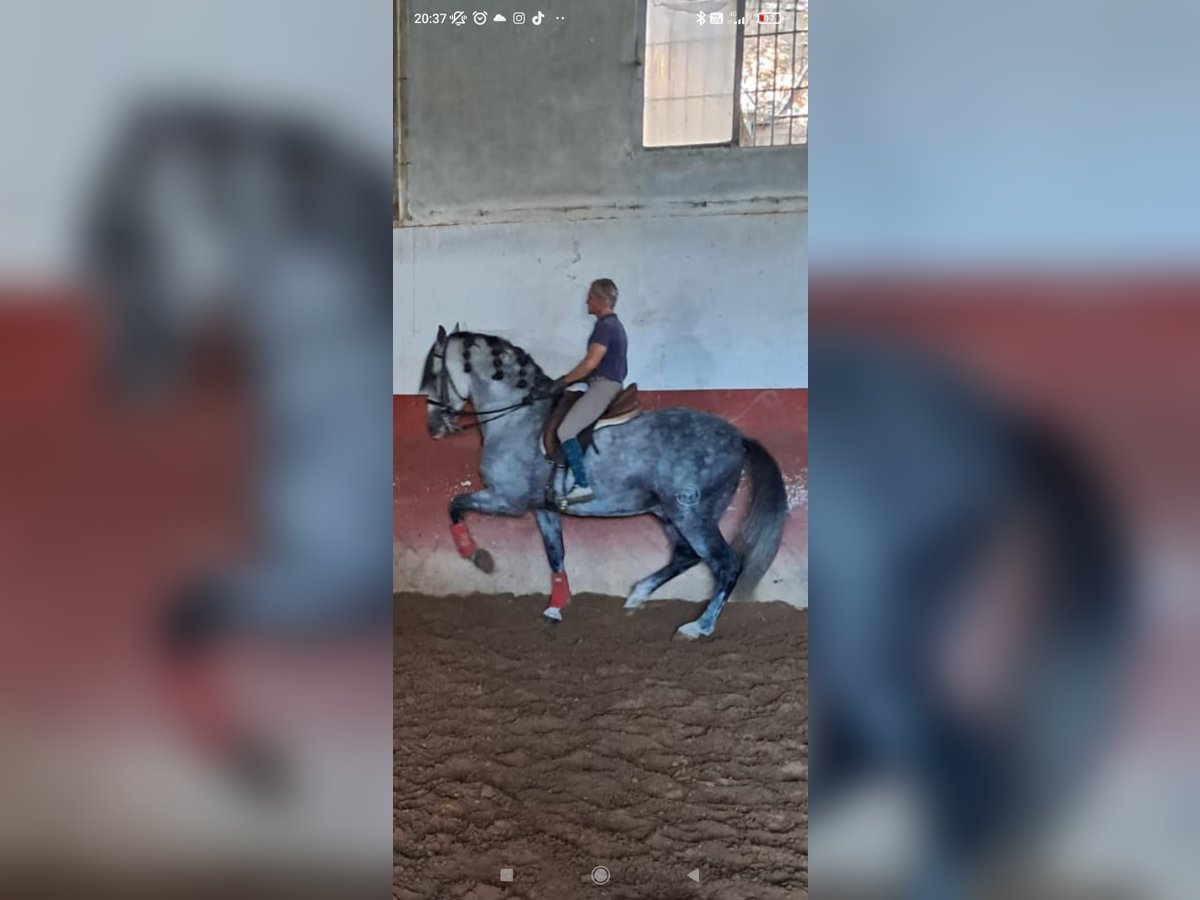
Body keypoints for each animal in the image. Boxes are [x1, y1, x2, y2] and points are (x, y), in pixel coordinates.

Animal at [420, 328, 787, 638]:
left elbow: (455, 505)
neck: (515, 417)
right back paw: (638, 595)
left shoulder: (507, 500)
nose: (434, 427)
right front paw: (556, 607)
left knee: (726, 564)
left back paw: (698, 627)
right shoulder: (543, 508)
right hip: (668, 513)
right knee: (685, 556)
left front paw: (476, 556)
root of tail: (738, 438)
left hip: (693, 515)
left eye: (433, 376)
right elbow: (556, 554)